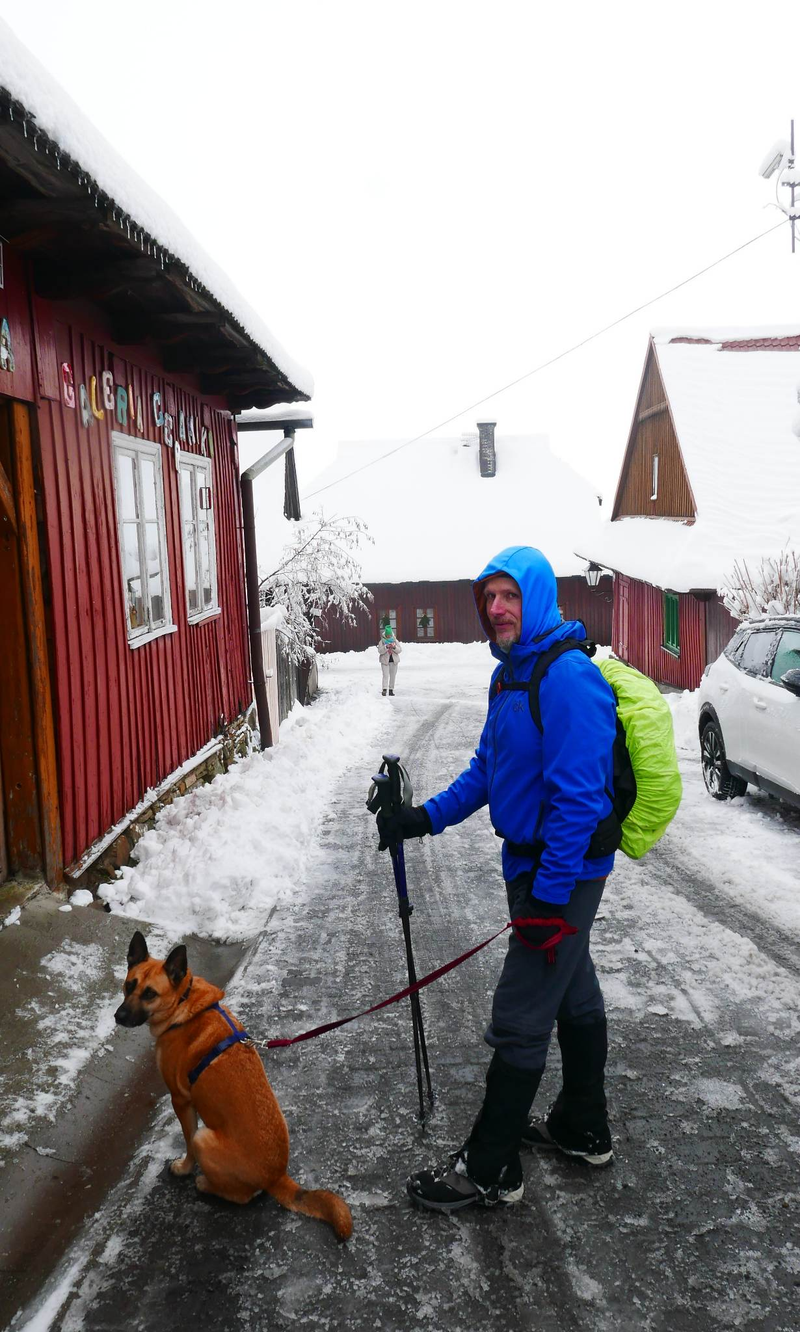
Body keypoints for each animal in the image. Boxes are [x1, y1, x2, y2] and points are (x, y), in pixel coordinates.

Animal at [113, 932, 351, 1241]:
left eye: (150, 994)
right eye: (129, 985)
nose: (118, 1016)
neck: (184, 1002)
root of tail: (277, 1177)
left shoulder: (181, 1101)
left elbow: (187, 1144)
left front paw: (184, 1168)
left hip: (205, 1137)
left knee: (241, 1195)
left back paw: (205, 1184)